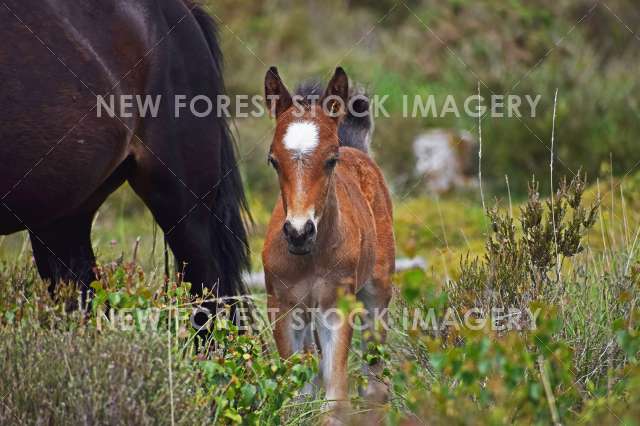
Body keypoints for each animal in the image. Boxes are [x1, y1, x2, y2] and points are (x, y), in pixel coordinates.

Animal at [262, 65, 396, 422]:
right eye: (273, 160)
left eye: (330, 159)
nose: (299, 232)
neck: (310, 258)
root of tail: (356, 148)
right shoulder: (283, 307)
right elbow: (297, 396)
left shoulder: (336, 306)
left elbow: (336, 400)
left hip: (378, 291)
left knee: (375, 381)